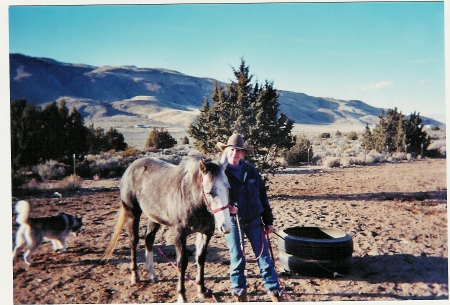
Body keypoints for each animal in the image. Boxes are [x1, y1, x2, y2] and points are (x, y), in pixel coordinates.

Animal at [103, 156, 232, 300]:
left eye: (228, 188)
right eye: (209, 192)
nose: (226, 226)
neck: (191, 196)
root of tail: (131, 167)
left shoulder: (206, 233)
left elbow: (200, 259)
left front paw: (201, 289)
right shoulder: (179, 235)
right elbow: (182, 263)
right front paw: (181, 295)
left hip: (154, 217)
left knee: (149, 239)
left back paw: (152, 274)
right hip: (132, 214)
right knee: (133, 241)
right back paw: (135, 276)